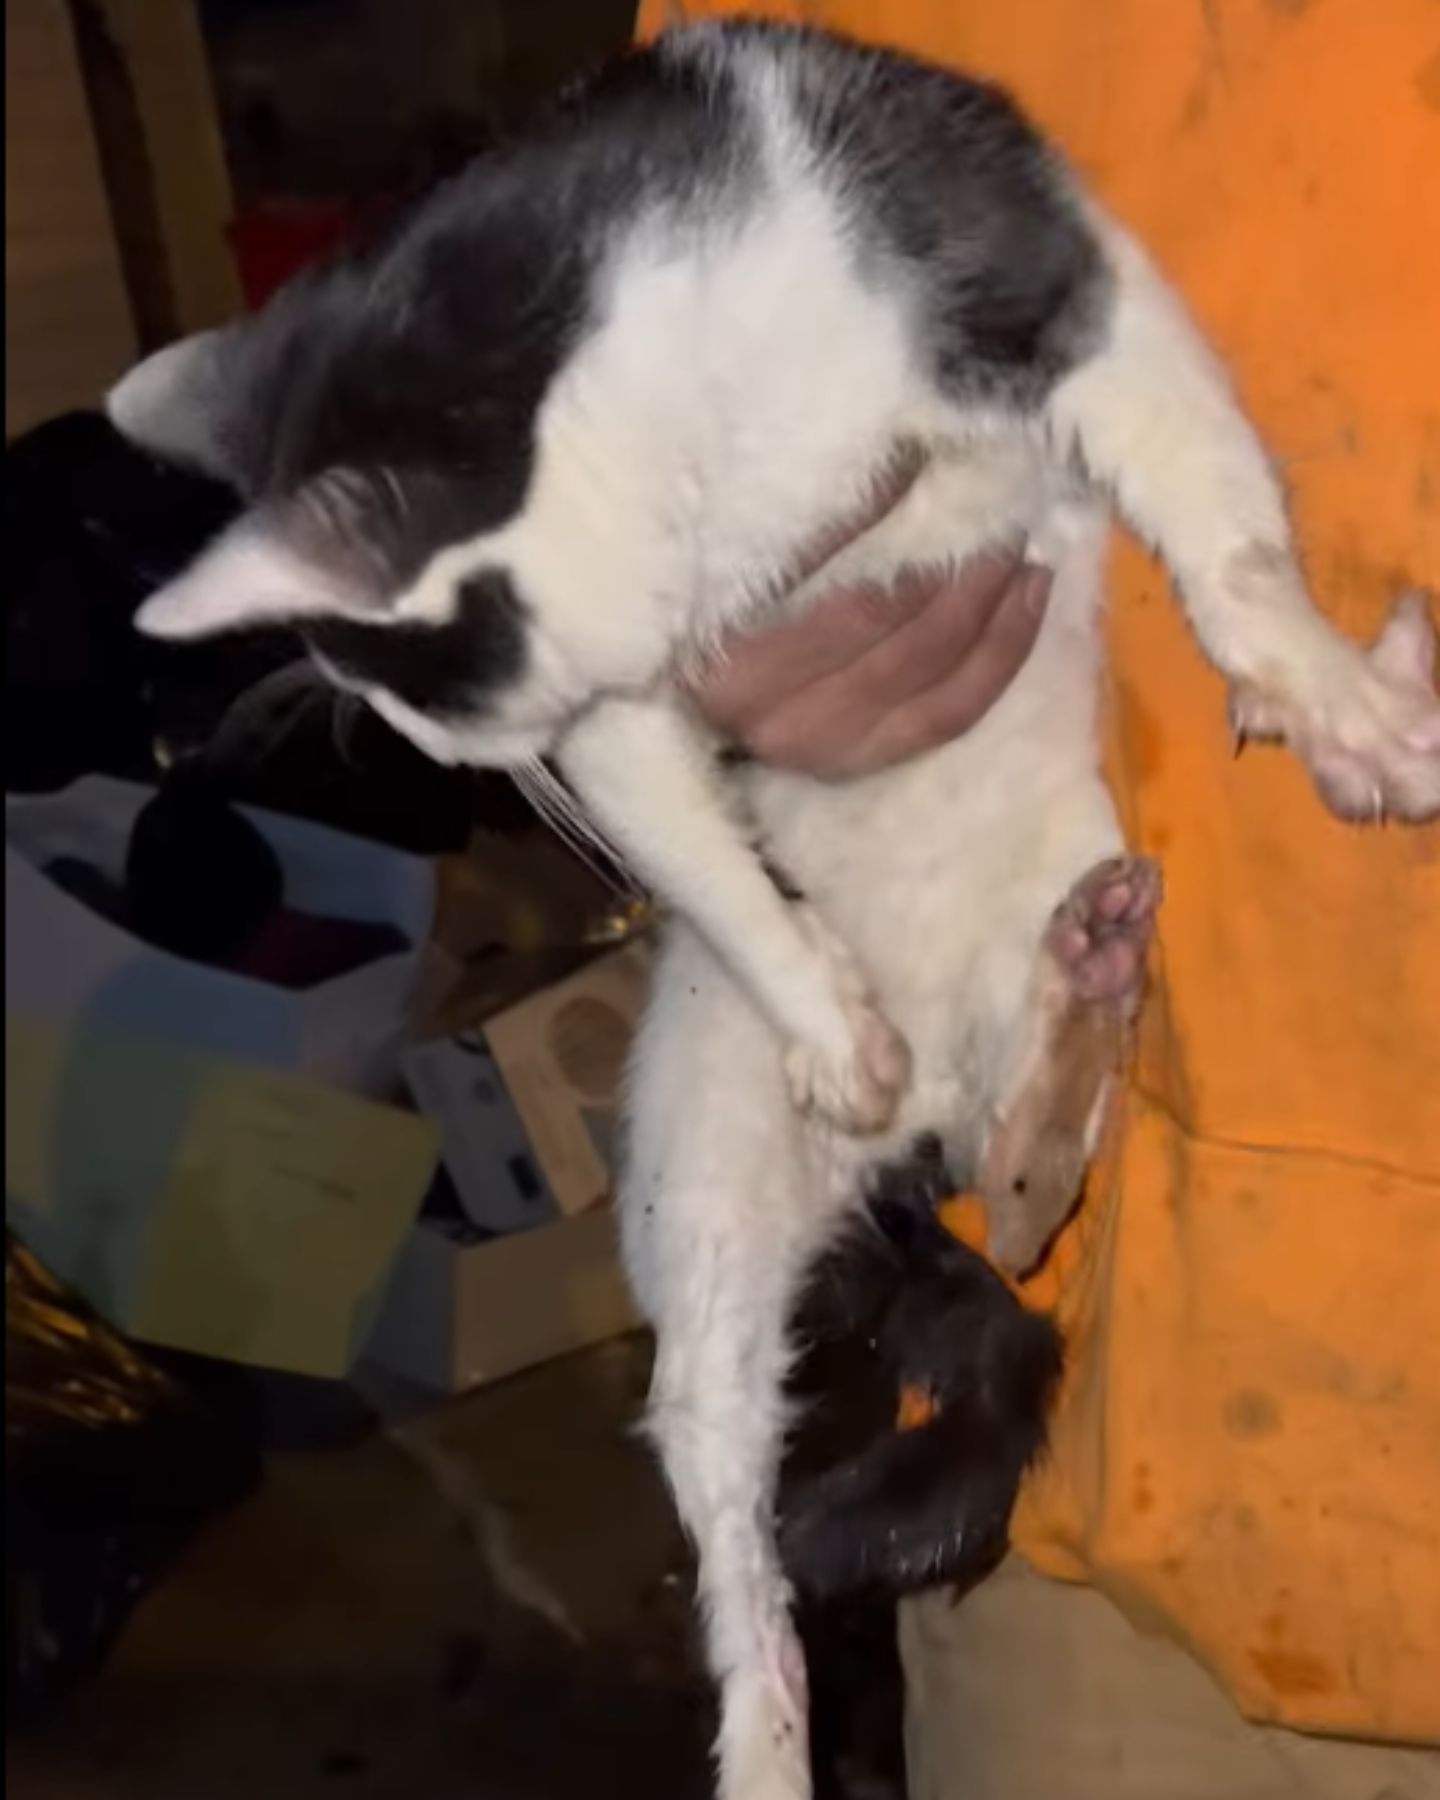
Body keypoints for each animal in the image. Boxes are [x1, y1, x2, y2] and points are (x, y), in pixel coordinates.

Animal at [107, 17, 1432, 1800]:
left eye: (424, 706)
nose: (454, 763)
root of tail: (923, 1136)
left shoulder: (1052, 283)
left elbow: (1222, 532)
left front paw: (1326, 692)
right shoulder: (626, 707)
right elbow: (704, 864)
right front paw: (821, 1012)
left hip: (1063, 867)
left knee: (1028, 1179)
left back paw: (1072, 1017)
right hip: (705, 1210)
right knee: (755, 1516)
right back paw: (768, 1734)